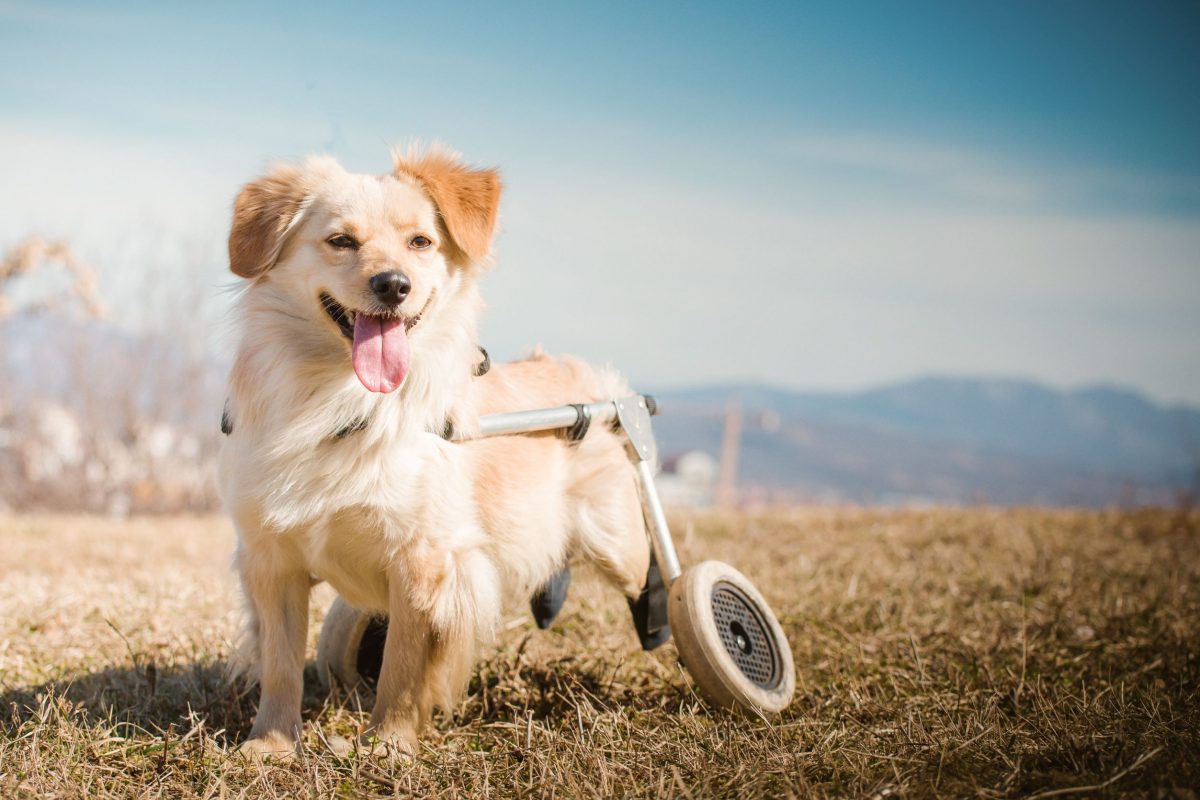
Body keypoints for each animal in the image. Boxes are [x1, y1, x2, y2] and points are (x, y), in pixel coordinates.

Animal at [220, 146, 662, 753]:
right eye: (341, 241)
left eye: (420, 242)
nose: (393, 285)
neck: (340, 400)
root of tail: (588, 378)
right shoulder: (272, 560)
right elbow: (281, 661)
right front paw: (271, 744)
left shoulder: (426, 562)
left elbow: (404, 667)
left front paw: (388, 745)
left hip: (618, 540)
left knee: (652, 578)